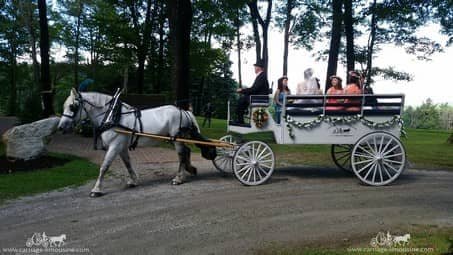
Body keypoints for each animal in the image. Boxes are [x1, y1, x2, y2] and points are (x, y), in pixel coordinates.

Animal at [57, 88, 199, 197]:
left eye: (72, 107)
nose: (61, 127)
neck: (112, 116)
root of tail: (184, 111)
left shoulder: (115, 146)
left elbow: (104, 166)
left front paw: (96, 190)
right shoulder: (122, 147)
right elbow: (127, 163)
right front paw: (133, 181)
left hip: (177, 139)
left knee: (181, 155)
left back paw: (178, 178)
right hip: (174, 139)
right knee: (187, 151)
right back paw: (190, 169)